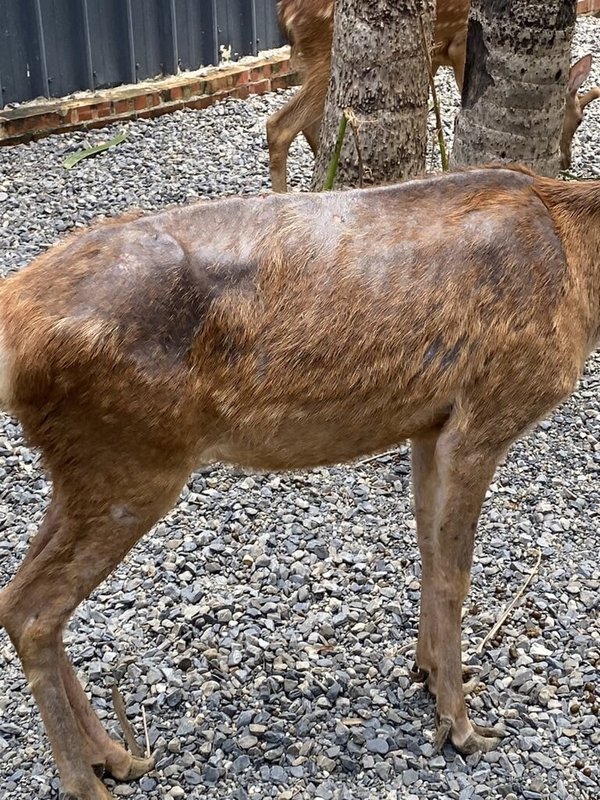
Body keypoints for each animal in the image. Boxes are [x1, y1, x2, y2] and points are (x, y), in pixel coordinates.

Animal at [0, 164, 600, 800]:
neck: (582, 269)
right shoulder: (487, 414)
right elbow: (453, 576)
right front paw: (461, 727)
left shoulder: (429, 421)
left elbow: (428, 550)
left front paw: (431, 674)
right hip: (130, 462)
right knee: (34, 609)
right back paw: (88, 780)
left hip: (86, 467)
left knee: (17, 597)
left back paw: (113, 756)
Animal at [268, 0, 600, 192]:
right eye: (576, 119)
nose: (566, 162)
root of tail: (284, 14)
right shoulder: (461, 44)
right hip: (328, 53)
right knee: (279, 125)